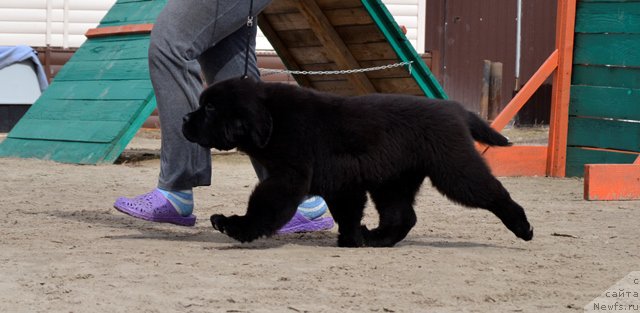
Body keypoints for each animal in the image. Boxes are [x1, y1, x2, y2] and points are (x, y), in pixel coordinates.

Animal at [182, 76, 532, 246]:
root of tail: (456, 109)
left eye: (210, 108)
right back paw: (376, 239)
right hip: (392, 182)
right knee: (403, 217)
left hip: (454, 170)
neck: (273, 119)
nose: (184, 118)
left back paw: (523, 227)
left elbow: (265, 206)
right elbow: (347, 214)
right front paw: (352, 241)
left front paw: (235, 226)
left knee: (493, 192)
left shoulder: (290, 176)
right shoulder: (342, 181)